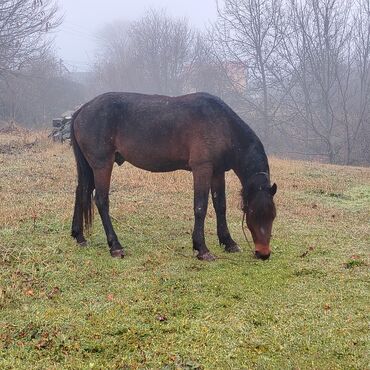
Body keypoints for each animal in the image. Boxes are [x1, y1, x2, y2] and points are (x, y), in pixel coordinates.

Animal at [71, 92, 276, 260]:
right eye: (253, 214)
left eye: (272, 216)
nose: (263, 253)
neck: (222, 124)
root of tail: (83, 109)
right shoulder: (202, 169)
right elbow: (200, 207)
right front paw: (202, 249)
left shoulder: (217, 172)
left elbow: (220, 206)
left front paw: (228, 242)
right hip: (102, 166)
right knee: (101, 201)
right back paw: (115, 246)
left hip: (90, 168)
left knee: (81, 192)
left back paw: (79, 236)